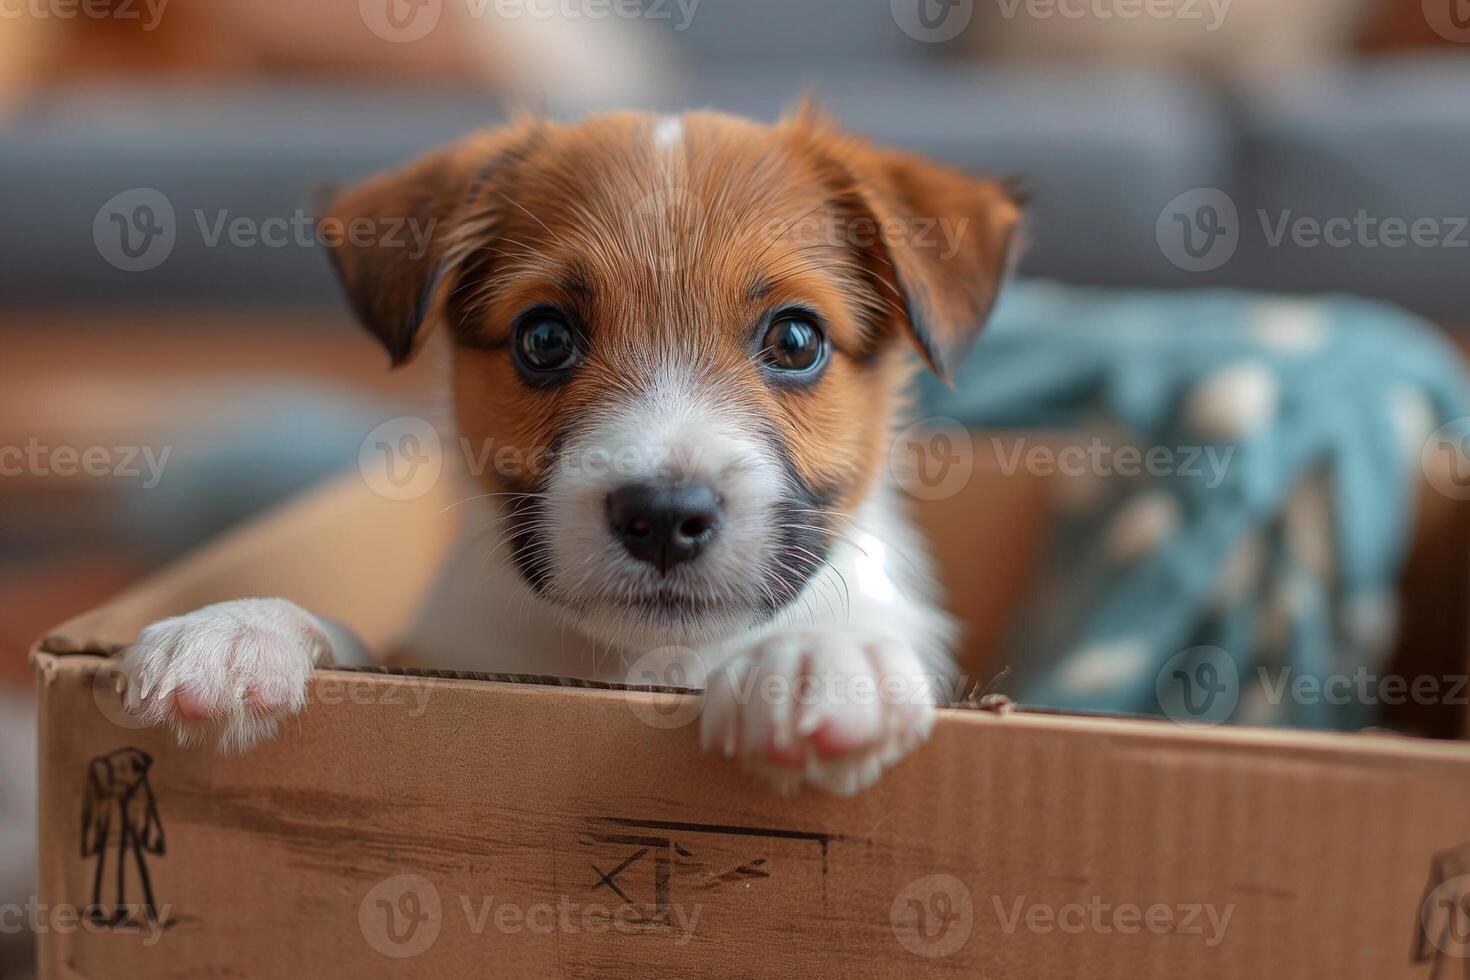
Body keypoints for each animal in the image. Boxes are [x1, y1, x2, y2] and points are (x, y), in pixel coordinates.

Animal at [120, 107, 1023, 799]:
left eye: (797, 340)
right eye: (545, 337)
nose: (664, 518)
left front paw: (815, 657)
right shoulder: (443, 659)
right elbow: (357, 645)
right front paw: (244, 628)